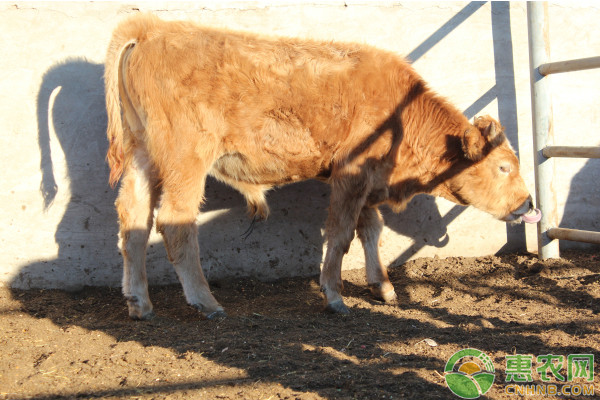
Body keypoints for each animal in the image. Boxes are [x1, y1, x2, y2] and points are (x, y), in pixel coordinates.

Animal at [104, 14, 536, 318]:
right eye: (503, 167)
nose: (529, 205)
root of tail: (152, 27)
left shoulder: (367, 183)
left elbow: (370, 230)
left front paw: (383, 286)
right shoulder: (352, 175)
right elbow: (342, 234)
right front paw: (334, 295)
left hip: (143, 156)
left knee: (133, 221)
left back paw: (139, 302)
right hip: (185, 159)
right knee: (175, 223)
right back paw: (205, 301)